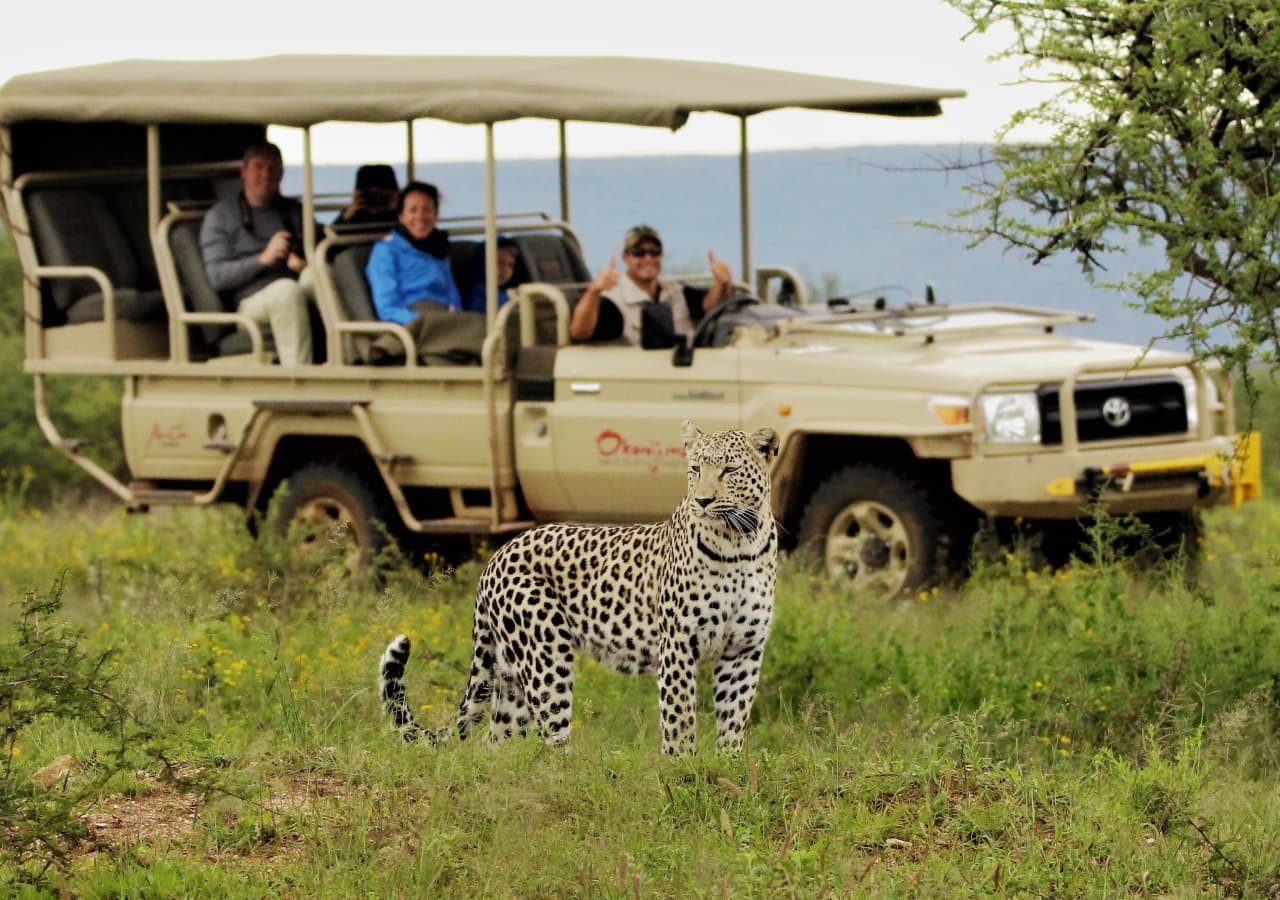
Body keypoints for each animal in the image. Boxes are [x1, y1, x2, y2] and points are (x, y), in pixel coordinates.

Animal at [378, 419, 778, 752]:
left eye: (729, 470)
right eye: (695, 469)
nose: (703, 501)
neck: (739, 543)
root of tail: (497, 556)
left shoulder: (743, 649)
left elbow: (733, 721)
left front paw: (727, 768)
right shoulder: (679, 645)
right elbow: (679, 721)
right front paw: (682, 773)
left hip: (511, 673)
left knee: (497, 742)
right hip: (546, 653)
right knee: (552, 738)